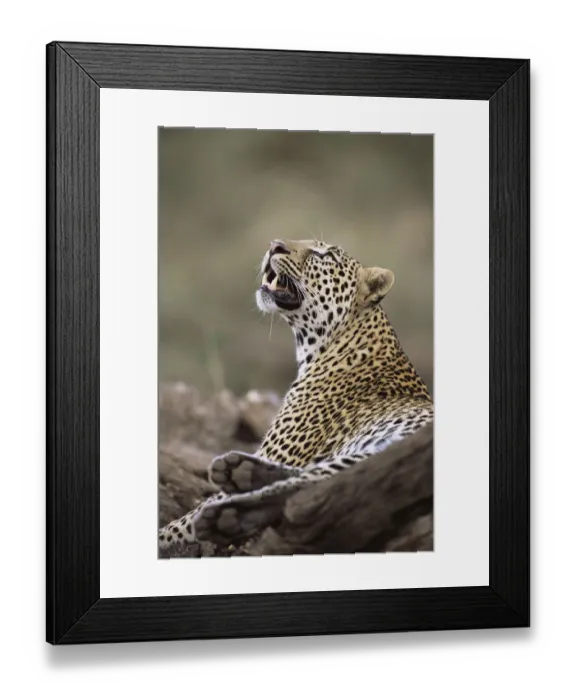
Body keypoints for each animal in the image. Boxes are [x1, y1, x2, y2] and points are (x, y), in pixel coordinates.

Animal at [159, 238, 433, 552]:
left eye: (323, 255)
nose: (274, 245)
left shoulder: (280, 451)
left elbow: (182, 522)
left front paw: (163, 535)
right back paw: (240, 473)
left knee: (312, 489)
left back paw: (229, 511)